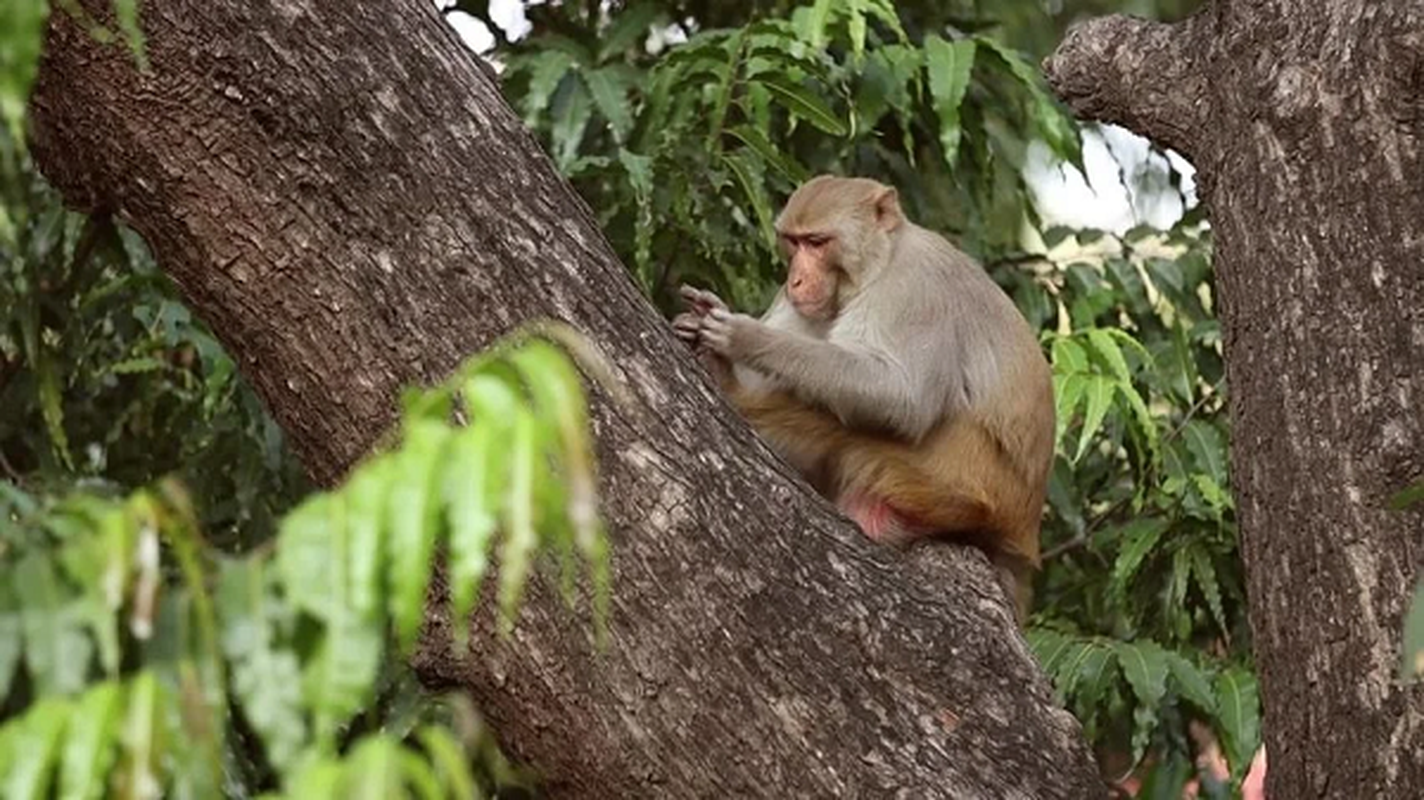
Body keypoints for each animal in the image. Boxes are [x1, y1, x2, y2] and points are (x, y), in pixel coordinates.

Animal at [669, 175, 1059, 623]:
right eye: (793, 242)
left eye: (818, 242)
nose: (795, 281)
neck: (882, 261)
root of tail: (1022, 538)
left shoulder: (913, 289)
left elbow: (903, 399)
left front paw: (744, 337)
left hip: (964, 480)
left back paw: (729, 384)